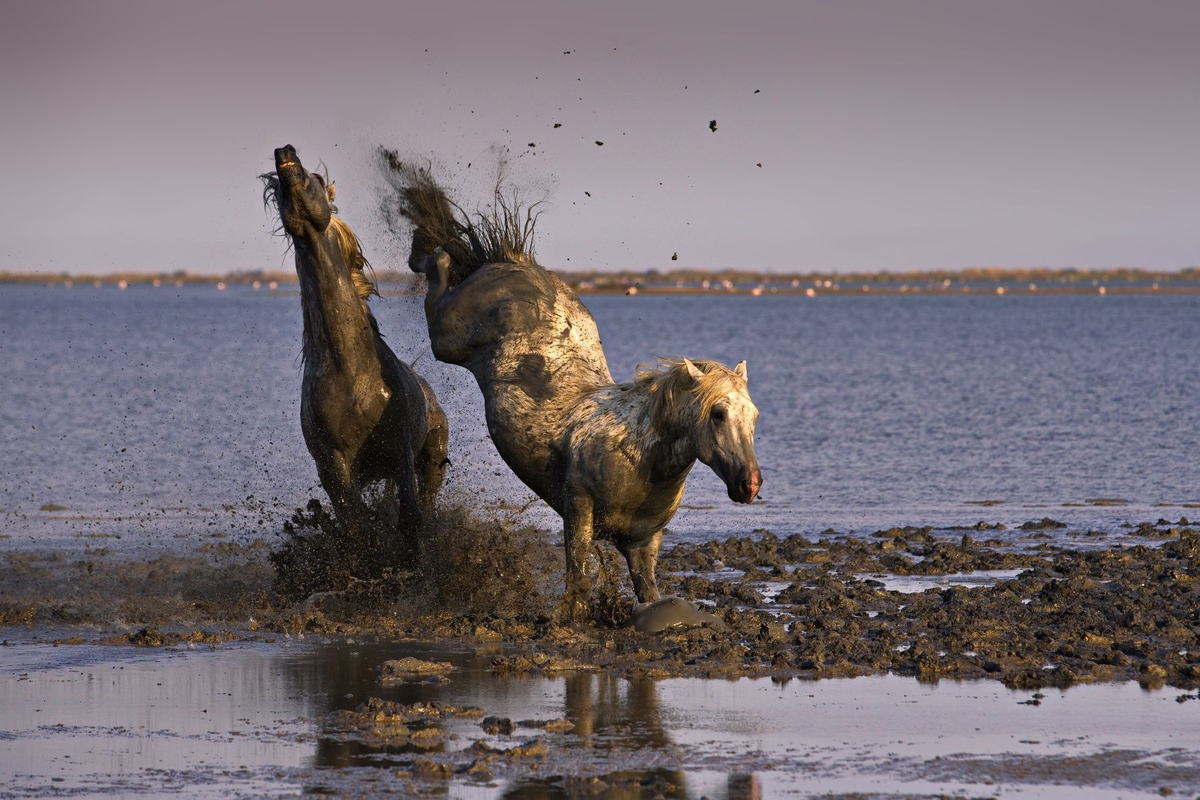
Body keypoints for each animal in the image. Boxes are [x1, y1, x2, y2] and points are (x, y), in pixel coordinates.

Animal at [264, 146, 451, 534]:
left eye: (318, 179)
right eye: (278, 194)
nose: (285, 154)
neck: (350, 371)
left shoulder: (399, 452)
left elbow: (410, 520)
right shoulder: (334, 467)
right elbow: (357, 528)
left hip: (432, 460)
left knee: (426, 505)